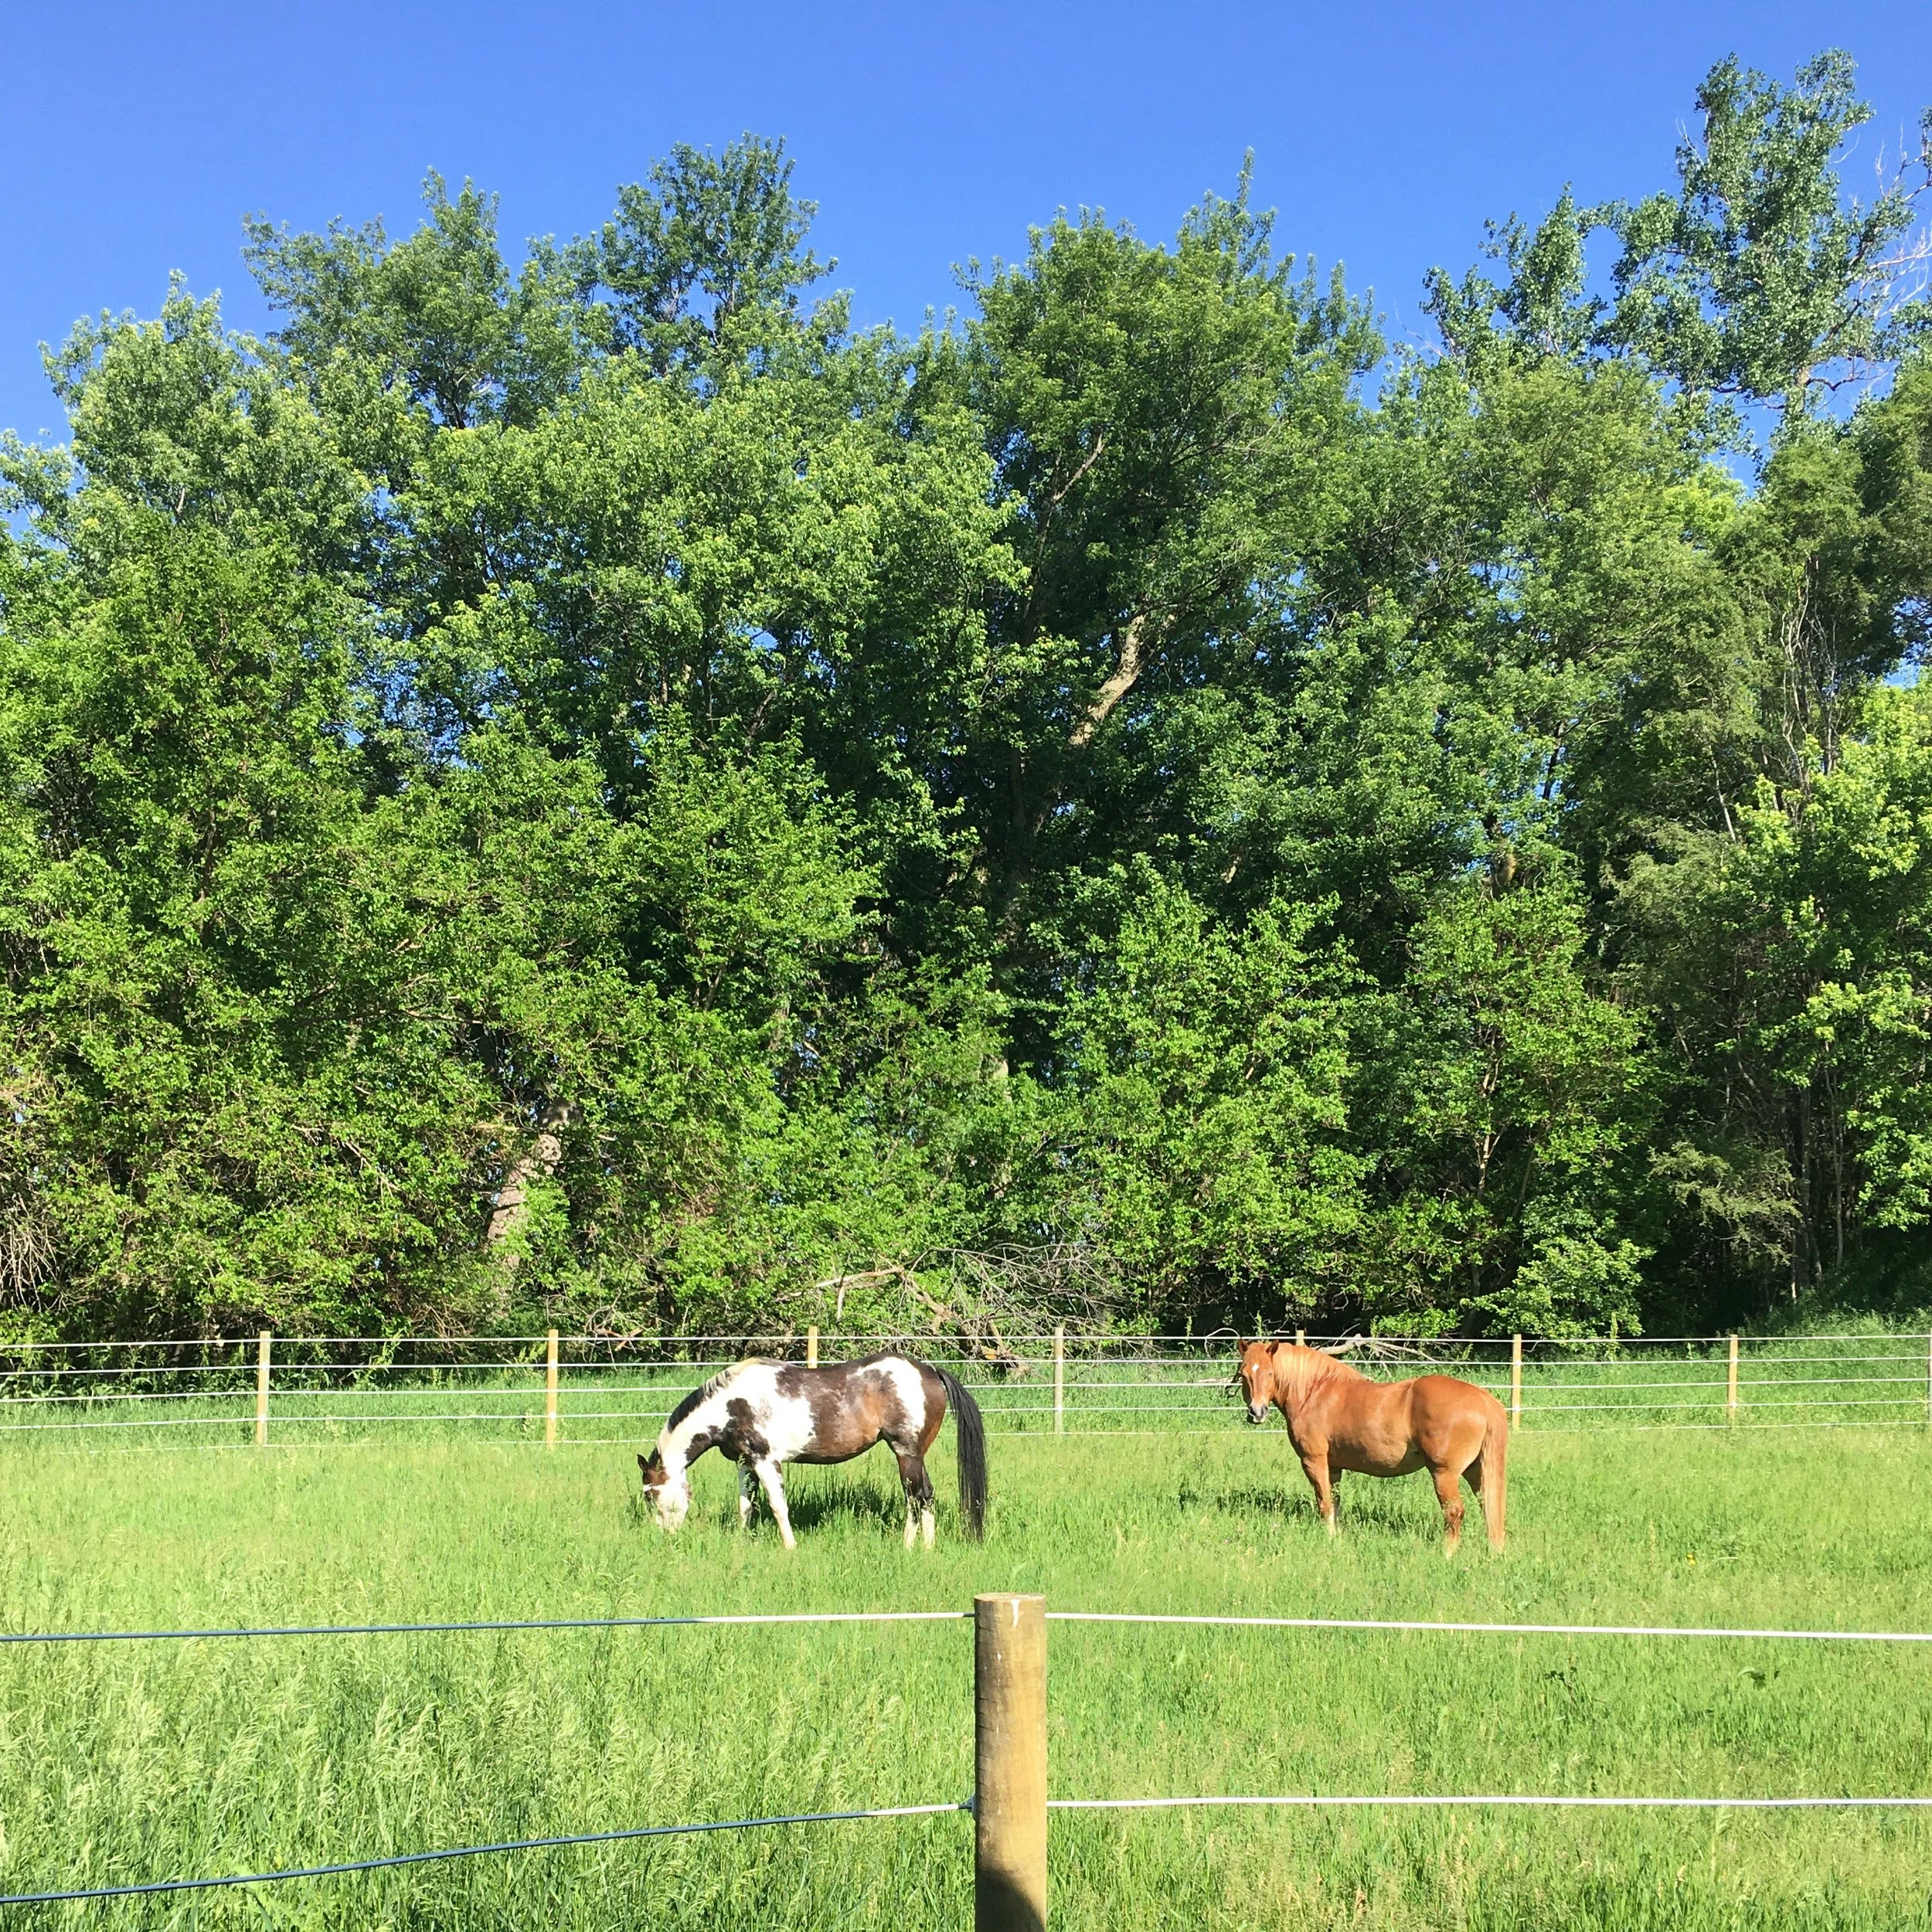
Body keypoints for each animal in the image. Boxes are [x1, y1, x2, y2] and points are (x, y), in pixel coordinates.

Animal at [638, 1352, 987, 1550]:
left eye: (651, 1495)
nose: (665, 1537)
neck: (732, 1404)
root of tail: (929, 1371)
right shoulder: (746, 1463)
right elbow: (745, 1507)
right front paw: (742, 1542)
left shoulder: (767, 1461)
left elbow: (778, 1506)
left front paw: (790, 1547)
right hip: (914, 1457)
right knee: (923, 1496)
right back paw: (923, 1547)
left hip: (907, 1454)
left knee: (918, 1497)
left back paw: (911, 1547)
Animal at [1234, 1340, 1507, 1554]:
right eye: (1245, 1374)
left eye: (1270, 1374)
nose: (1257, 1412)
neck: (1315, 1392)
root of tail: (1482, 1398)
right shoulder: (1334, 1467)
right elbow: (1335, 1503)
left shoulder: (1314, 1461)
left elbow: (1324, 1503)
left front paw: (1328, 1538)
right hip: (1475, 1470)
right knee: (1488, 1508)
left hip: (1445, 1473)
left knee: (1454, 1512)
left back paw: (1447, 1554)